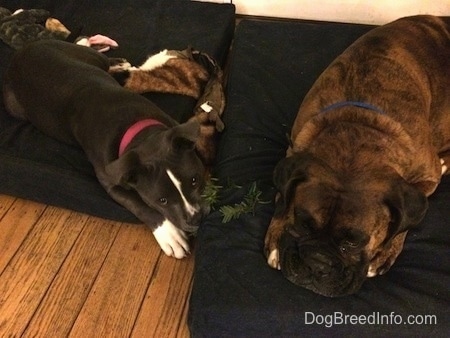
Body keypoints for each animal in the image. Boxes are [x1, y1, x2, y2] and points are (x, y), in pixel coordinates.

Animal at [264, 15, 450, 296]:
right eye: (303, 223)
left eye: (353, 243)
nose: (317, 264)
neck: (358, 124)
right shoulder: (293, 150)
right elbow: (281, 197)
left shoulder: (427, 179)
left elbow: (404, 222)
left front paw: (386, 251)